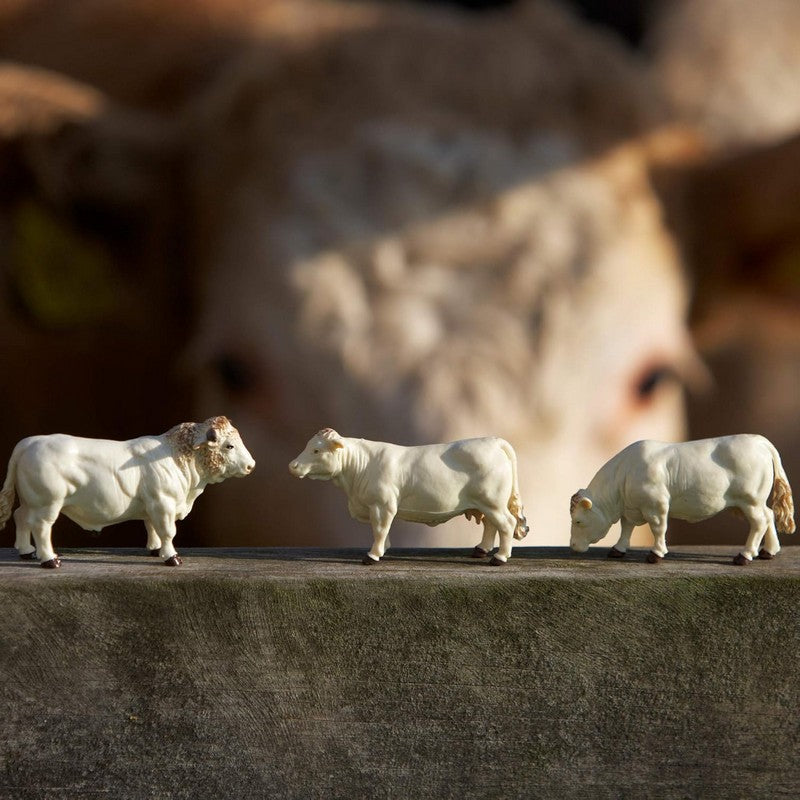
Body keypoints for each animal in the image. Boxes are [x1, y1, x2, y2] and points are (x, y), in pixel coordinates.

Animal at [0, 416, 255, 564]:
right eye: (229, 446)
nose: (251, 465)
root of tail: (30, 442)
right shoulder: (163, 503)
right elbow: (168, 531)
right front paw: (171, 556)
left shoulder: (153, 506)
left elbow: (152, 528)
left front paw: (155, 550)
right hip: (47, 503)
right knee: (41, 527)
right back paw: (49, 559)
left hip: (30, 501)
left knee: (20, 517)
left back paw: (26, 552)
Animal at [290, 428, 532, 564]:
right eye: (308, 446)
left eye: (316, 450)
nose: (292, 466)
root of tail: (493, 440)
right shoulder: (379, 507)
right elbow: (383, 530)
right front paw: (384, 549)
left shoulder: (382, 505)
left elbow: (380, 529)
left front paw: (372, 555)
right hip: (486, 503)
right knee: (491, 526)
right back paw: (481, 550)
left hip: (493, 501)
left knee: (507, 524)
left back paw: (499, 558)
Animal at [568, 438, 792, 564]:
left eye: (578, 520)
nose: (572, 546)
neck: (625, 473)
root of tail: (759, 441)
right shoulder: (631, 508)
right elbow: (627, 528)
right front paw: (618, 549)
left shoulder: (656, 506)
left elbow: (658, 529)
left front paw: (656, 554)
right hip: (756, 502)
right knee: (769, 515)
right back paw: (768, 551)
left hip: (750, 500)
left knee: (759, 522)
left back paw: (745, 555)